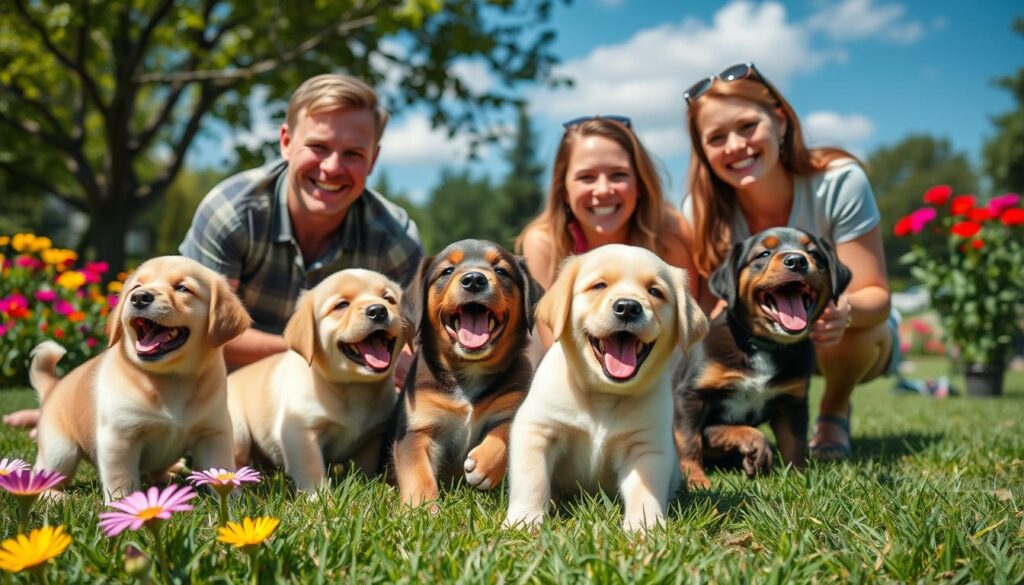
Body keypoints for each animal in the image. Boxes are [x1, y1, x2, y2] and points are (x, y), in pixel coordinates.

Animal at [29, 254, 249, 502]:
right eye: (136, 287)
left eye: (182, 288)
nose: (139, 298)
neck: (171, 378)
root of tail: (53, 388)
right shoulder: (119, 436)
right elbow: (121, 480)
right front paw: (126, 505)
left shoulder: (212, 433)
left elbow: (220, 468)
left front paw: (232, 498)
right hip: (59, 450)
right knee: (42, 477)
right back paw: (55, 497)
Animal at [226, 270, 405, 493]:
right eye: (341, 305)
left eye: (389, 299)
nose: (378, 310)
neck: (354, 387)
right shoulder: (300, 431)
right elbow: (311, 468)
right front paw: (320, 497)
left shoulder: (373, 436)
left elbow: (366, 466)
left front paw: (368, 486)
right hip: (238, 431)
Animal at [391, 237, 544, 508]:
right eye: (447, 271)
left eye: (501, 270)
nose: (474, 279)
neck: (470, 371)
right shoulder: (416, 429)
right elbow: (417, 472)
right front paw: (421, 509)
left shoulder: (511, 404)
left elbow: (505, 430)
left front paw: (484, 465)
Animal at [499, 244, 708, 532]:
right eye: (599, 285)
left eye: (655, 291)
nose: (628, 307)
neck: (604, 394)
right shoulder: (536, 429)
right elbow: (533, 480)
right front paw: (524, 521)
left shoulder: (646, 446)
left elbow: (644, 491)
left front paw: (645, 527)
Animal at [671, 228, 847, 489]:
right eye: (763, 253)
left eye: (814, 253)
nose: (797, 261)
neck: (764, 345)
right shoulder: (690, 395)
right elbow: (688, 442)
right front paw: (695, 479)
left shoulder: (792, 401)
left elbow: (794, 443)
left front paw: (798, 479)